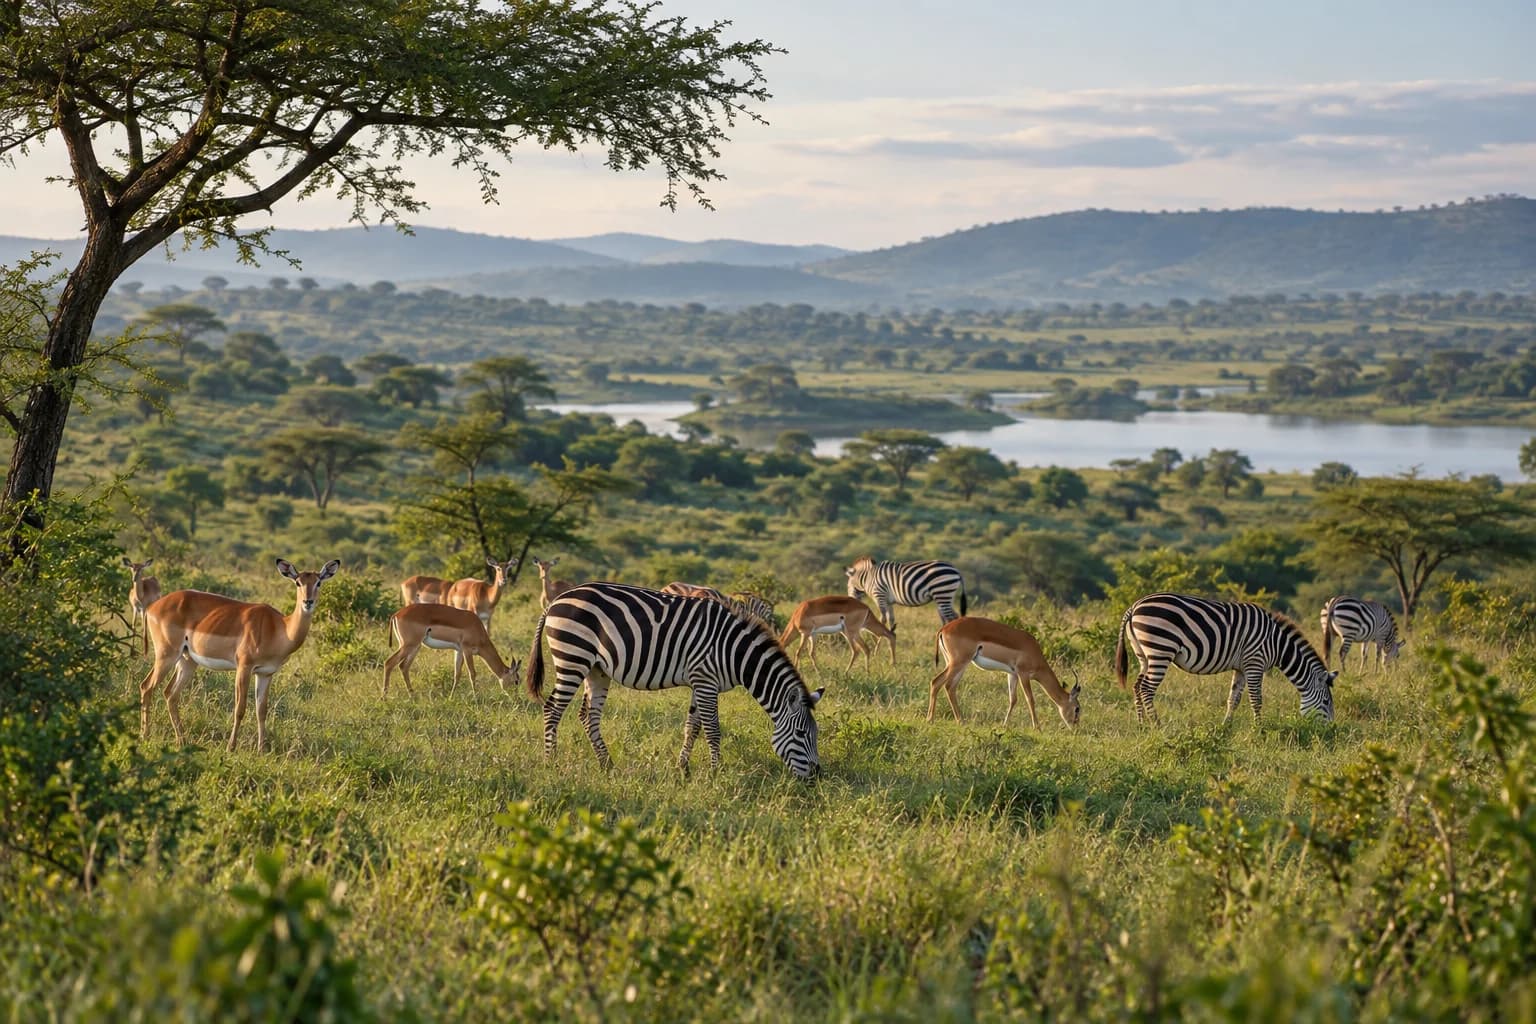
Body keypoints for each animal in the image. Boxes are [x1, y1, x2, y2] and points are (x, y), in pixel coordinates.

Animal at [525, 583, 824, 779]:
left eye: (816, 734)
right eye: (801, 734)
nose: (817, 776)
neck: (733, 650)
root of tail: (556, 600)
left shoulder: (701, 682)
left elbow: (692, 727)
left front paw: (684, 769)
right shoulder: (705, 680)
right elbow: (713, 729)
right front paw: (716, 772)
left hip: (596, 669)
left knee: (588, 716)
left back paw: (607, 765)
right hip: (572, 656)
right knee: (552, 709)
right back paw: (551, 763)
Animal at [1114, 592, 1337, 724]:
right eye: (1326, 702)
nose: (1329, 731)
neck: (1277, 643)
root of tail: (1133, 607)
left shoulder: (1242, 668)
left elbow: (1234, 699)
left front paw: (1226, 727)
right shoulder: (1255, 663)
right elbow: (1256, 699)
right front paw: (1259, 730)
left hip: (1144, 655)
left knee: (1137, 686)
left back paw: (1142, 724)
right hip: (1161, 650)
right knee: (1146, 689)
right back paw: (1156, 725)